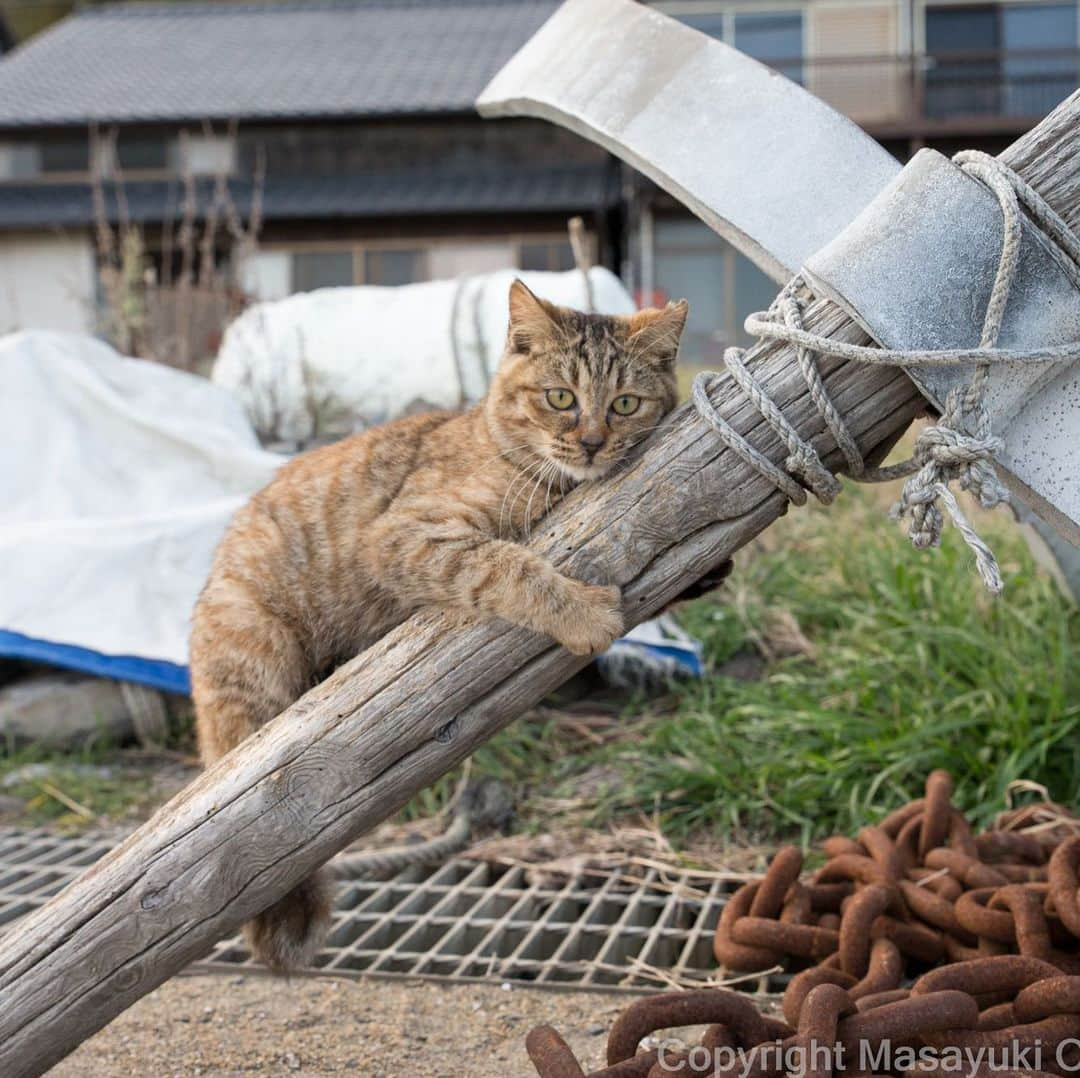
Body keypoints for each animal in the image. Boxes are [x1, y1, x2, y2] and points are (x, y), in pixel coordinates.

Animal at [190, 278, 686, 972]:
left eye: (625, 404)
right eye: (561, 398)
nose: (591, 442)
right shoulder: (403, 534)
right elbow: (507, 564)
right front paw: (582, 613)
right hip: (254, 655)